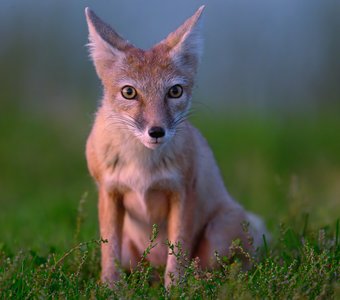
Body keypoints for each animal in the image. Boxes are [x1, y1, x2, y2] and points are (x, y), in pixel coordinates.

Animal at [84, 5, 266, 288]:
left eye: (175, 92)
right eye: (129, 92)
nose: (156, 131)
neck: (142, 165)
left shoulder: (183, 193)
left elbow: (177, 252)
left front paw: (176, 289)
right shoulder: (109, 192)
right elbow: (108, 250)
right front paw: (111, 287)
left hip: (217, 235)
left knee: (213, 271)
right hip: (131, 252)